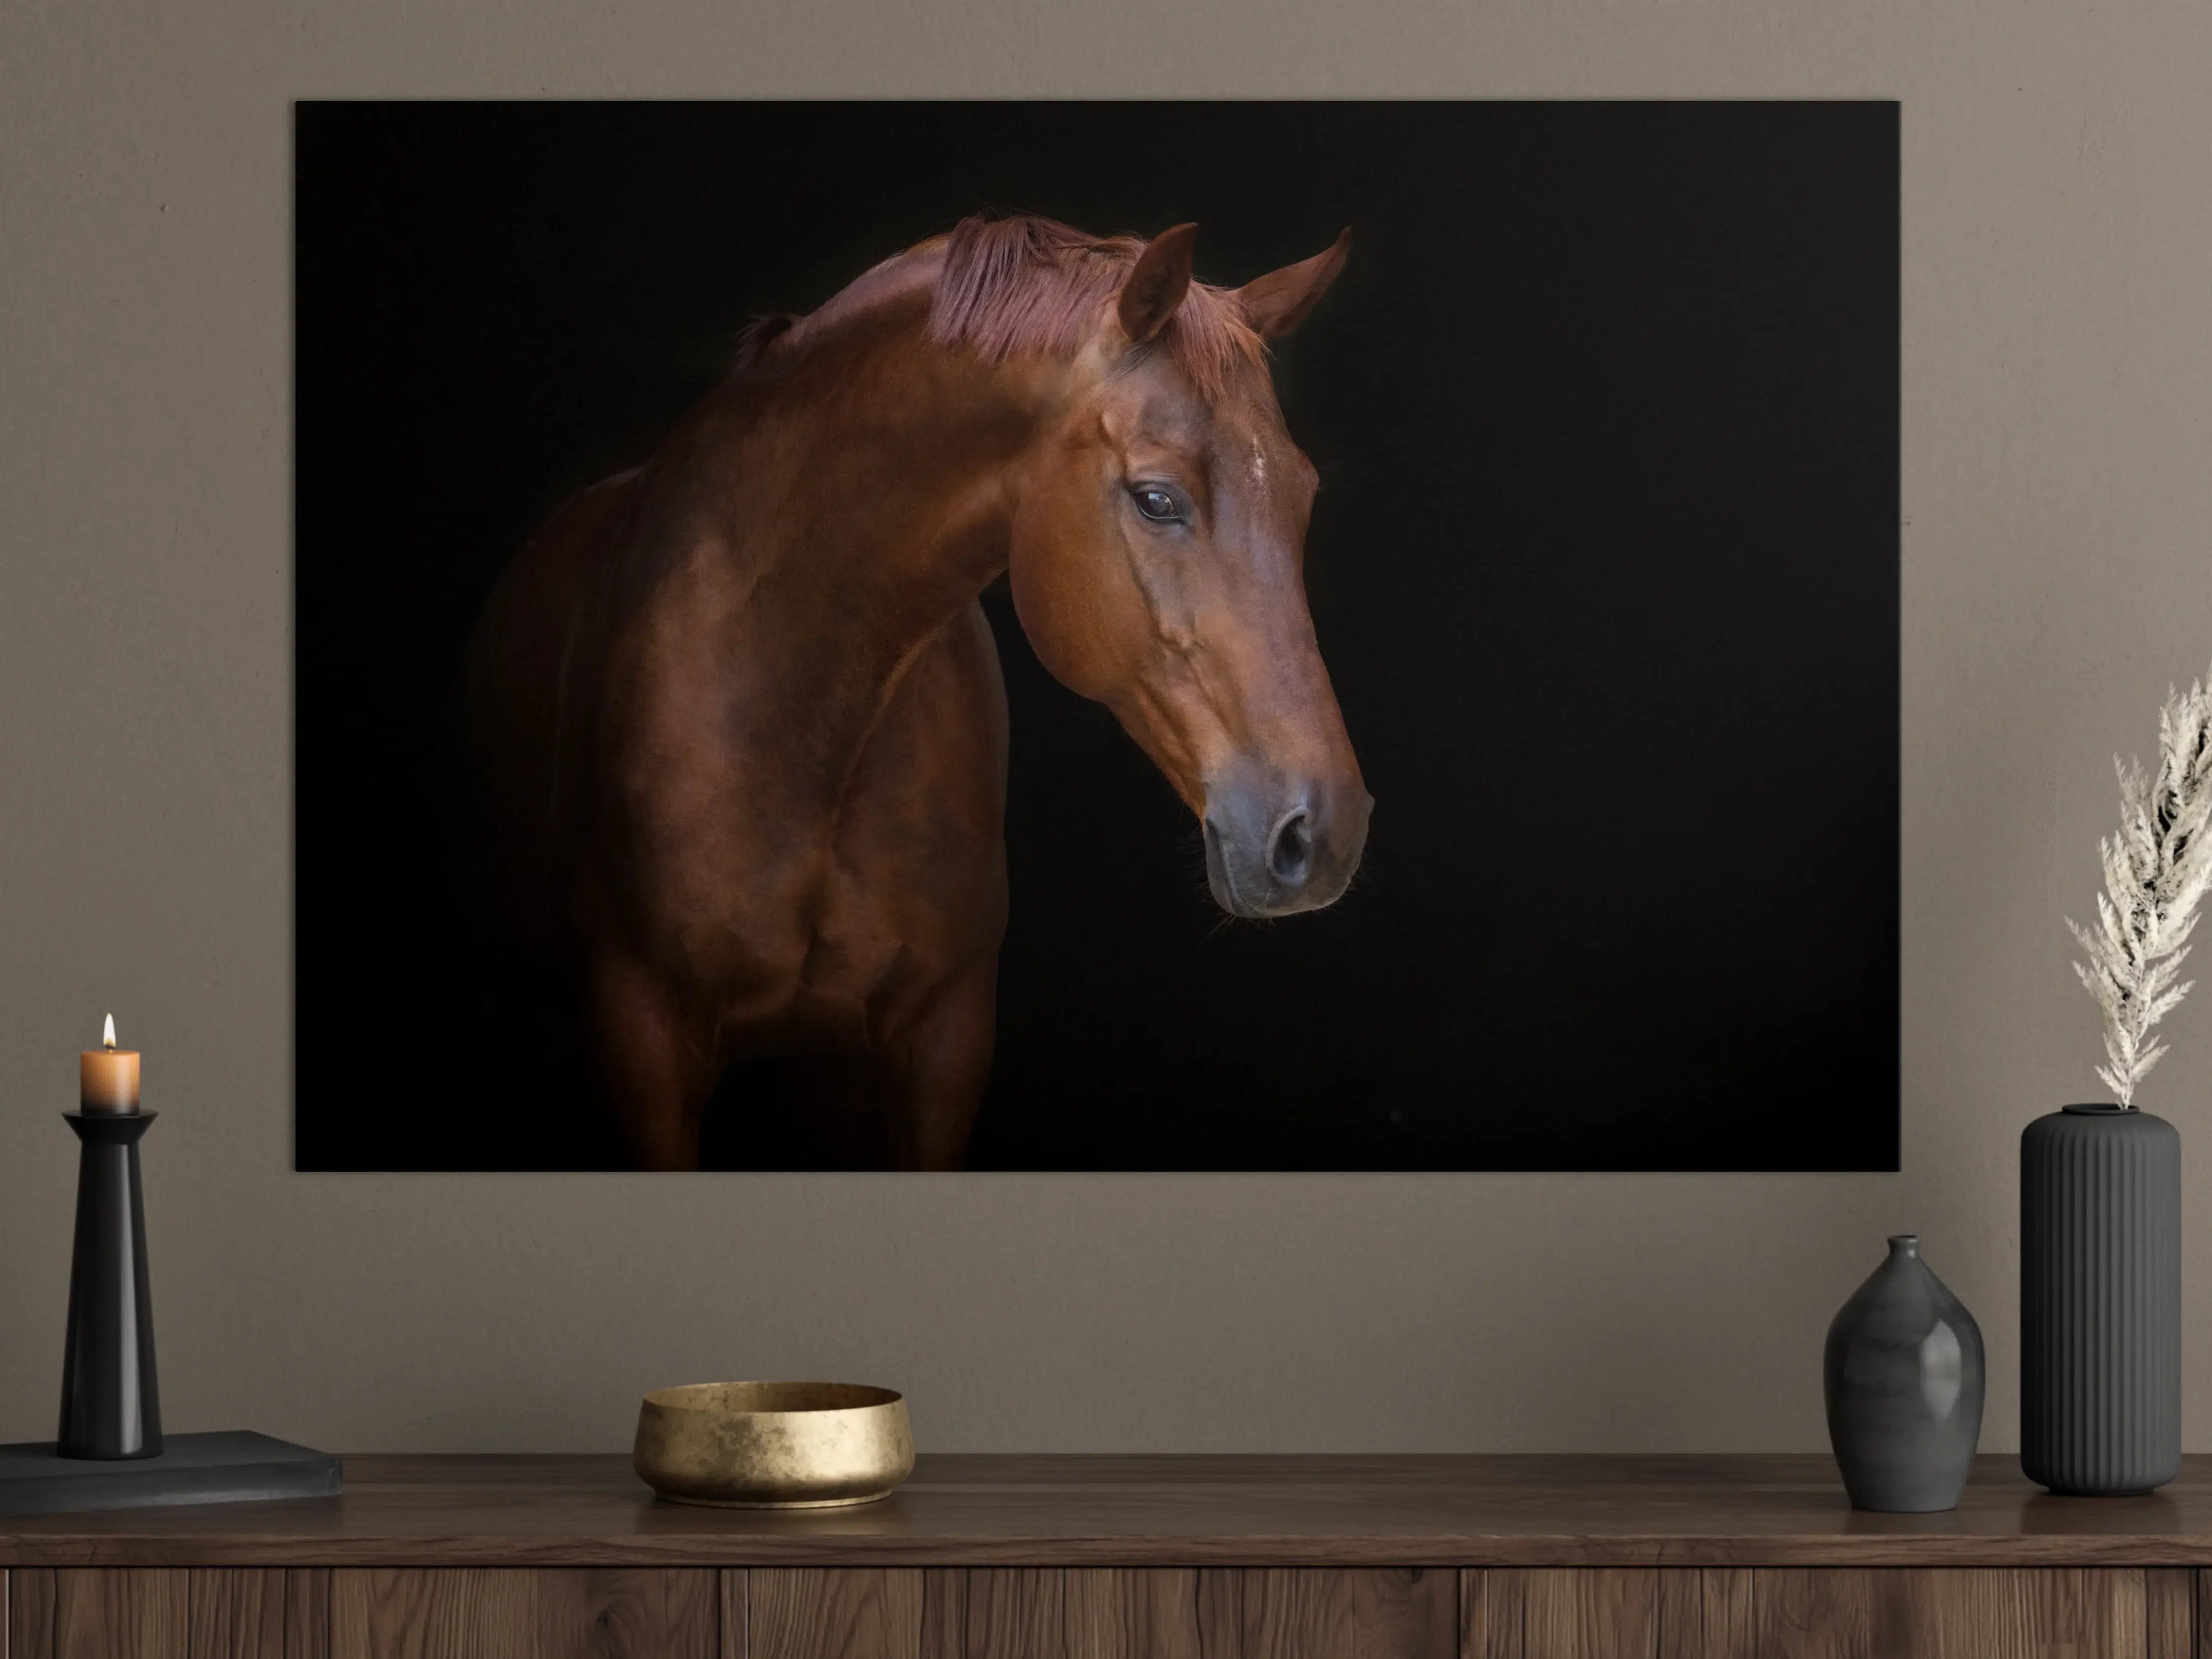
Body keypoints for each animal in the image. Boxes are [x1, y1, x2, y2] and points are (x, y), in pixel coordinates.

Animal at [456, 215, 1371, 1170]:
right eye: (1156, 498)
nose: (1324, 831)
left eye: (1305, 493)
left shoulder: (942, 1042)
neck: (793, 695)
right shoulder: (643, 1044)